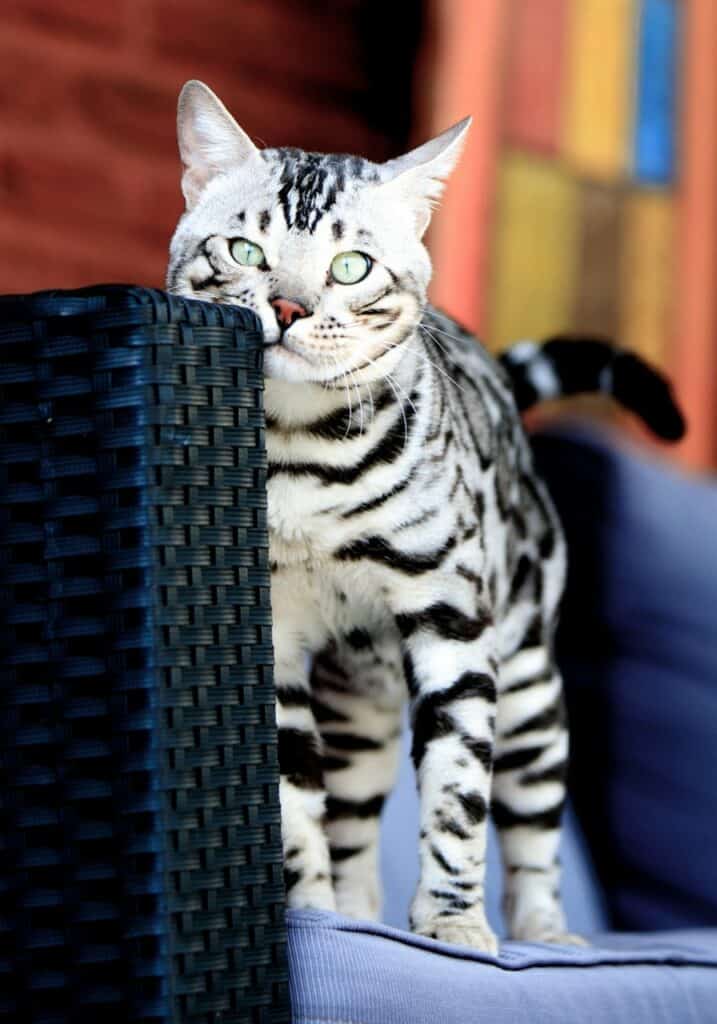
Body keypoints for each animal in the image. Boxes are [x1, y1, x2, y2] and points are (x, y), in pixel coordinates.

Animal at [166, 79, 684, 950]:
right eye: (245, 252)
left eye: (350, 268)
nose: (288, 306)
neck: (300, 455)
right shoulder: (275, 636)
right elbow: (297, 807)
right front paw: (313, 916)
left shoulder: (452, 625)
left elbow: (456, 792)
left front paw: (451, 921)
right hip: (361, 711)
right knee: (353, 827)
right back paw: (355, 914)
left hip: (531, 688)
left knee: (533, 835)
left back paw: (545, 936)